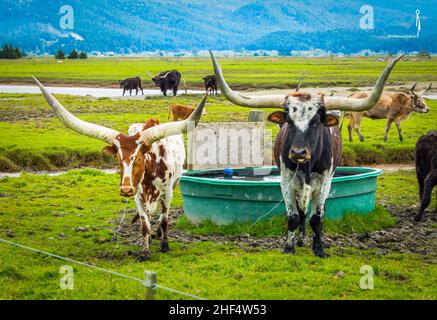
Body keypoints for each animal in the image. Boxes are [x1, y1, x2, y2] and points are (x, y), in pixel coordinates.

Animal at [33, 77, 207, 260]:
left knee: (161, 216)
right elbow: (145, 224)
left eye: (139, 158)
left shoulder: (168, 192)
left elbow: (164, 219)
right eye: (117, 159)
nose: (125, 189)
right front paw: (144, 251)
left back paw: (159, 233)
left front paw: (164, 245)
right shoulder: (138, 195)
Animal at [209, 52, 404, 258]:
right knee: (302, 212)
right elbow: (294, 217)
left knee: (317, 211)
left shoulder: (325, 180)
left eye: (316, 121)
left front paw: (319, 249)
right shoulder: (286, 180)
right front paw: (289, 247)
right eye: (288, 120)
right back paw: (301, 239)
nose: (298, 152)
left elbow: (317, 219)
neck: (307, 166)